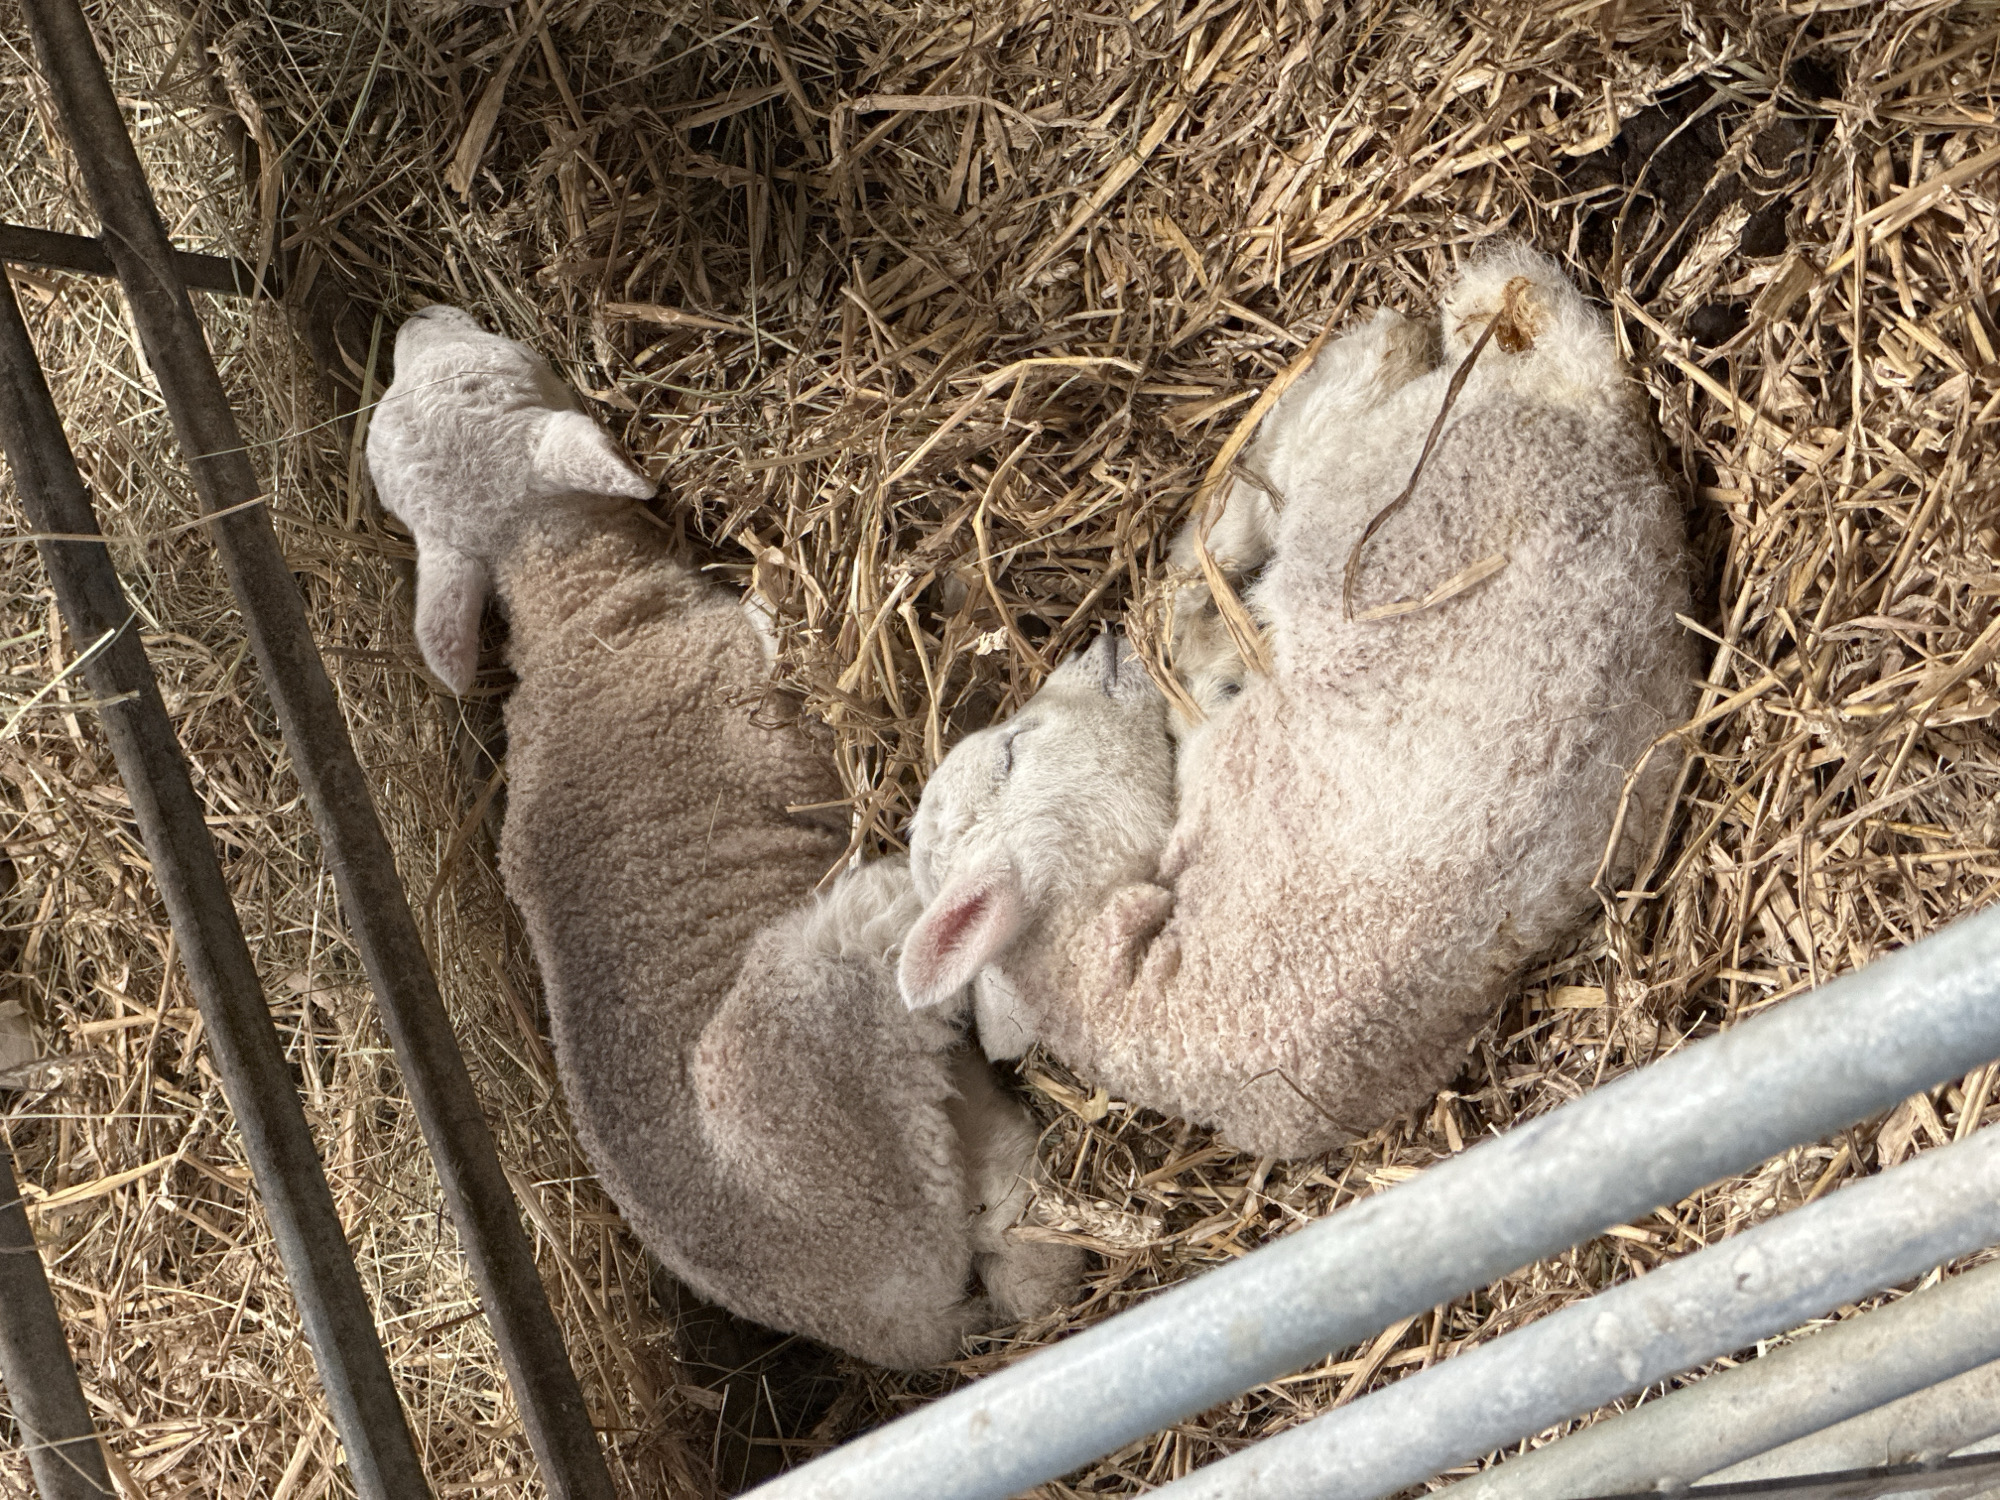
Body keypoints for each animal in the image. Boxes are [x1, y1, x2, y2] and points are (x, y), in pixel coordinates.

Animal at [898, 246, 1694, 1159]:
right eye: (1014, 749)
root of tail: (1594, 405)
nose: (1098, 652)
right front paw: (1197, 650)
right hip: (1379, 494)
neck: (1146, 1002)